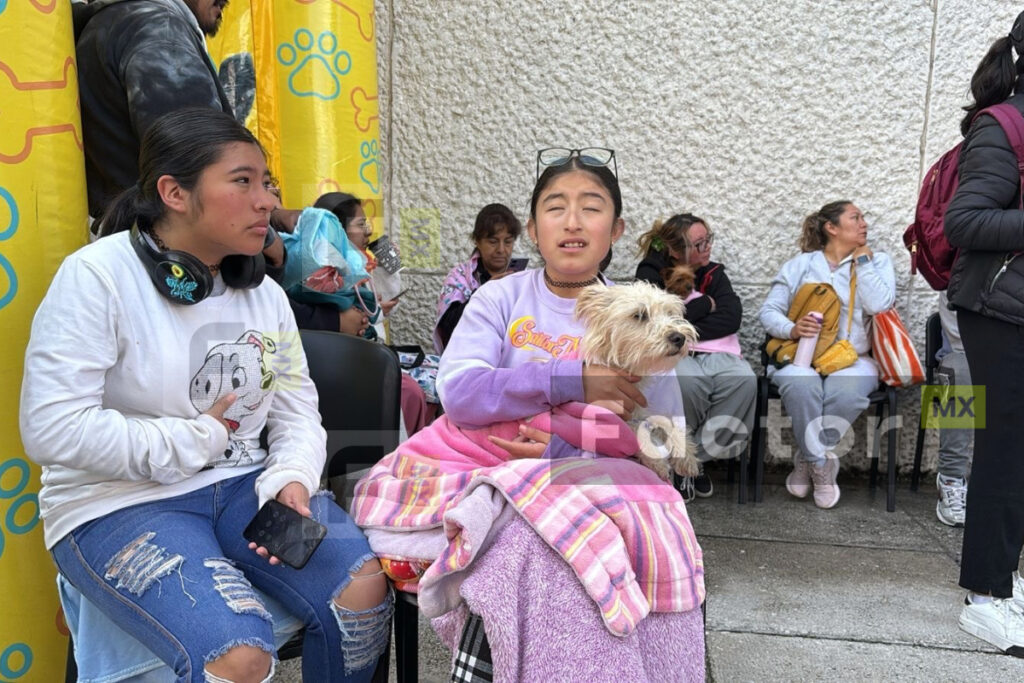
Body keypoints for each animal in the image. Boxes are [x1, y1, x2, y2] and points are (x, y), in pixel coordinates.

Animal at [573, 282, 700, 481]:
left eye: (670, 312)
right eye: (639, 315)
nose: (679, 337)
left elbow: (671, 423)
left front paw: (686, 455)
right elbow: (633, 430)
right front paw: (657, 461)